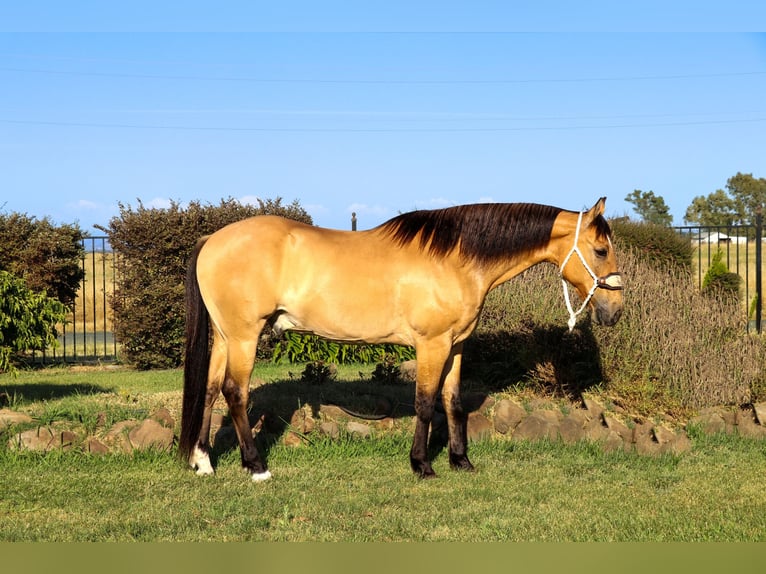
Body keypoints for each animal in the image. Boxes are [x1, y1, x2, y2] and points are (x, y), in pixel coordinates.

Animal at [180, 198, 624, 482]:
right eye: (601, 250)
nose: (614, 311)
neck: (455, 259)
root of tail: (211, 240)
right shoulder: (432, 344)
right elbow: (426, 403)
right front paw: (422, 466)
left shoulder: (456, 345)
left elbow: (453, 401)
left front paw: (461, 462)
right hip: (244, 336)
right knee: (235, 392)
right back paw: (256, 467)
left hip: (224, 336)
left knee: (210, 390)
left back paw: (203, 462)